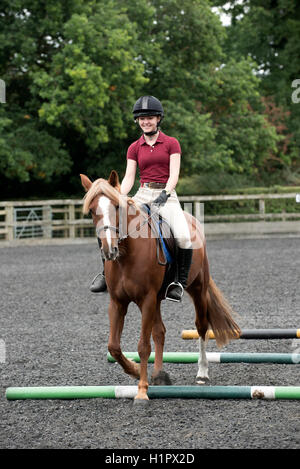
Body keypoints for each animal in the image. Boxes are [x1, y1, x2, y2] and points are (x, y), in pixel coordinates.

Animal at [81, 170, 240, 400]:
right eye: (93, 210)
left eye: (117, 207)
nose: (109, 249)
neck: (127, 255)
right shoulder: (118, 302)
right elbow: (114, 346)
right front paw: (135, 371)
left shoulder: (146, 299)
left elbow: (143, 346)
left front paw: (142, 391)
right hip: (156, 299)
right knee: (159, 331)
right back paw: (158, 374)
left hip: (197, 289)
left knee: (201, 326)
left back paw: (202, 373)